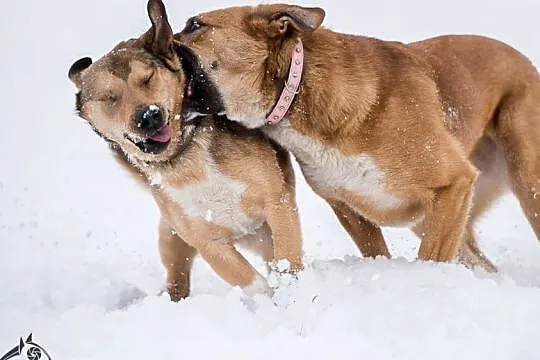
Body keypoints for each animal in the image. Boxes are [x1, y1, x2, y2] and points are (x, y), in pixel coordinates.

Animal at [66, 0, 304, 300]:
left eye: (148, 79)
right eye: (110, 98)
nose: (149, 116)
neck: (187, 155)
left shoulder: (278, 205)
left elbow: (288, 262)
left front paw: (292, 297)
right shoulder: (206, 240)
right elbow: (250, 282)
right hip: (171, 238)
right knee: (177, 277)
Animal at [176, 4, 540, 272]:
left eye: (195, 24)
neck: (298, 89)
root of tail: (523, 60)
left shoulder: (454, 182)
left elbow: (430, 259)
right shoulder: (348, 207)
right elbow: (376, 250)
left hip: (525, 184)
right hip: (440, 216)